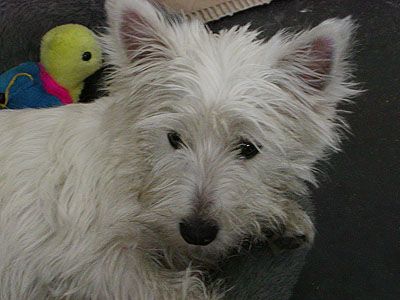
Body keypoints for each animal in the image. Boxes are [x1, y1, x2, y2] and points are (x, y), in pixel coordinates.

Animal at [0, 1, 358, 298]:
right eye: (174, 138)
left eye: (248, 148)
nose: (197, 232)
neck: (136, 175)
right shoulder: (95, 262)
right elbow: (175, 289)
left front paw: (280, 217)